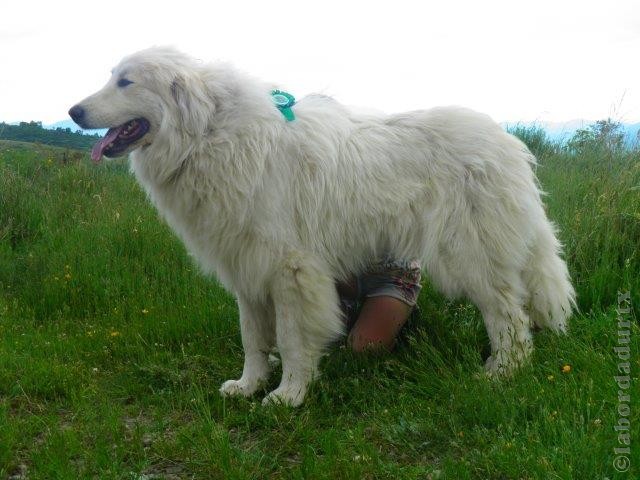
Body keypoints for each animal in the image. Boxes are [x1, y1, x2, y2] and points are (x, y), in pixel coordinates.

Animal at [70, 47, 576, 404]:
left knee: (508, 316)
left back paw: (500, 373)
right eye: (111, 77)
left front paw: (288, 396)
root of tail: (510, 144)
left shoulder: (293, 271)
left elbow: (292, 340)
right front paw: (249, 386)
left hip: (468, 255)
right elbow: (253, 339)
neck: (209, 136)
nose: (73, 111)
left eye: (126, 81)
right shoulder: (247, 268)